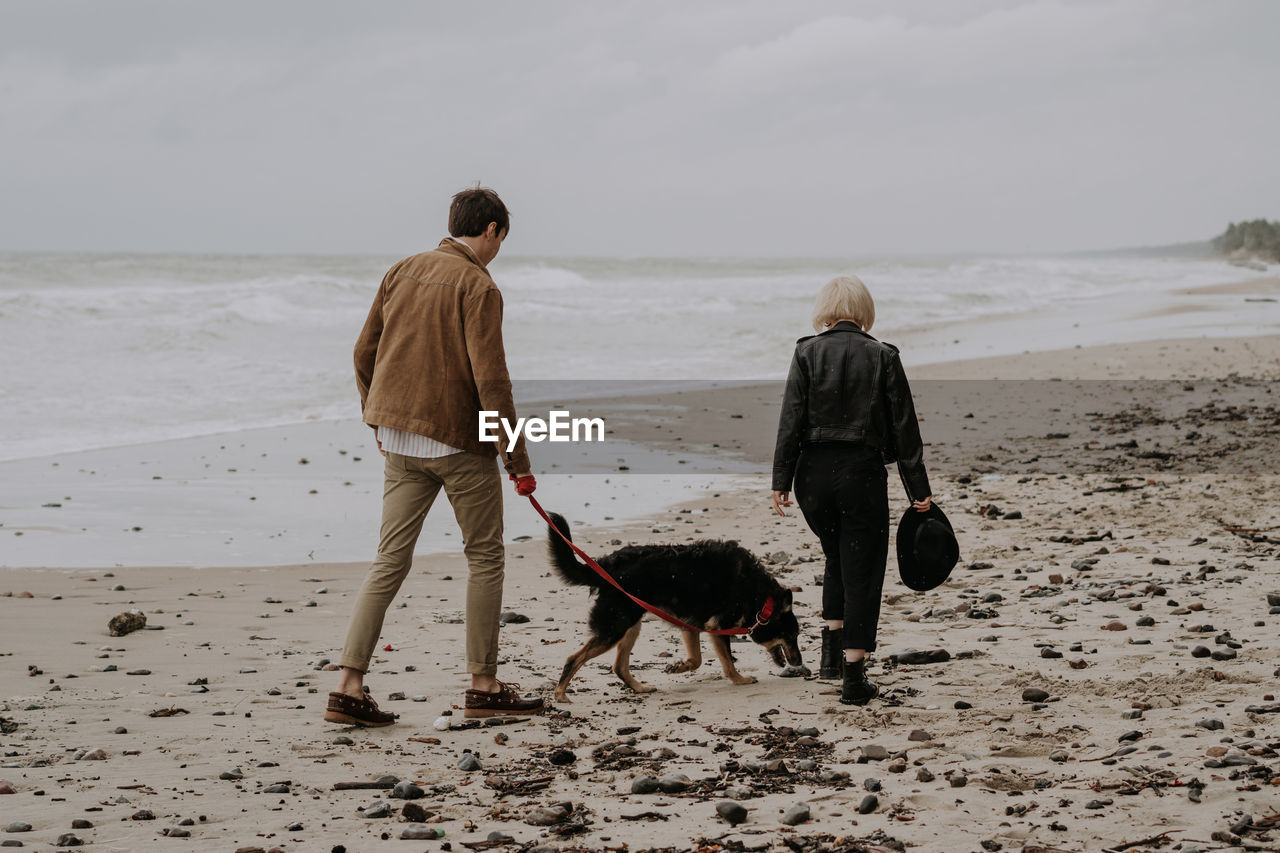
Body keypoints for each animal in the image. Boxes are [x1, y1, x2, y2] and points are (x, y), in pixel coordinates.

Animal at [547, 512, 803, 696]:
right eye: (792, 636)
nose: (800, 664)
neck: (761, 598)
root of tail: (606, 566)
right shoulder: (716, 627)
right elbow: (728, 662)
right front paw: (740, 680)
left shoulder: (691, 626)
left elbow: (697, 660)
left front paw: (679, 666)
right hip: (615, 627)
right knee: (574, 659)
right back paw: (560, 695)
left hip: (631, 625)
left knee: (619, 666)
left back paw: (640, 688)